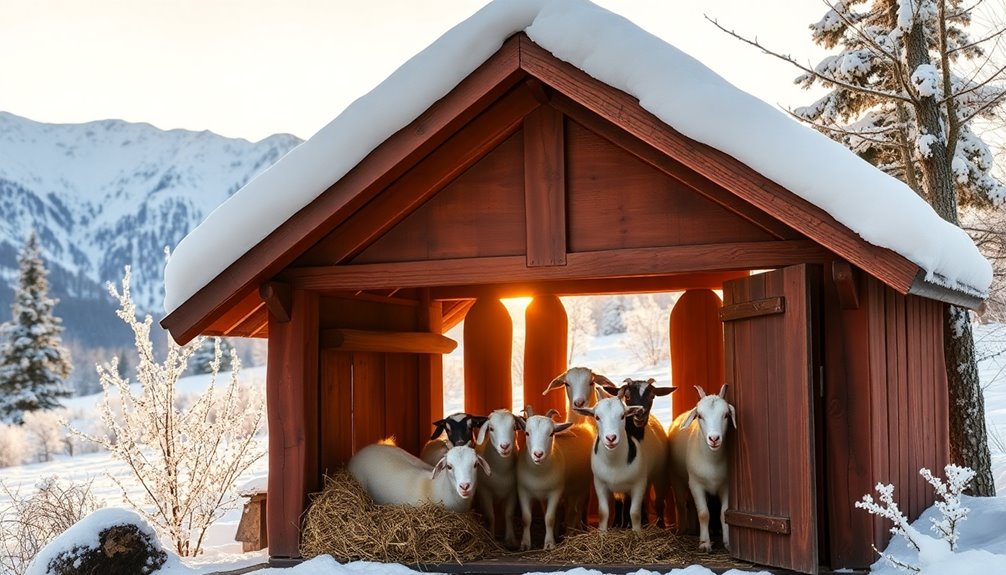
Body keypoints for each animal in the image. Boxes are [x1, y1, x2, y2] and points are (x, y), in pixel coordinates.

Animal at [472, 406, 519, 546]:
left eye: (514, 427)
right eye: (491, 429)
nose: (504, 446)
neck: (500, 472)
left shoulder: (512, 491)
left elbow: (509, 514)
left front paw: (510, 540)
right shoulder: (484, 491)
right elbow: (490, 515)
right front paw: (491, 538)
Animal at [575, 398, 667, 530]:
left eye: (622, 416)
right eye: (597, 417)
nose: (611, 438)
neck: (614, 463)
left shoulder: (639, 483)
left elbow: (634, 512)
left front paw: (637, 531)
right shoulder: (600, 483)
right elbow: (603, 512)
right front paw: (603, 532)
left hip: (659, 474)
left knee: (658, 501)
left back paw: (659, 525)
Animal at [667, 384, 740, 550]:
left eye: (726, 415)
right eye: (700, 416)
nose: (714, 438)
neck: (712, 460)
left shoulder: (725, 485)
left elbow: (723, 513)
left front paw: (727, 542)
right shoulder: (696, 484)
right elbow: (704, 514)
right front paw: (705, 543)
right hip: (676, 477)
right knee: (681, 504)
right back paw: (682, 530)